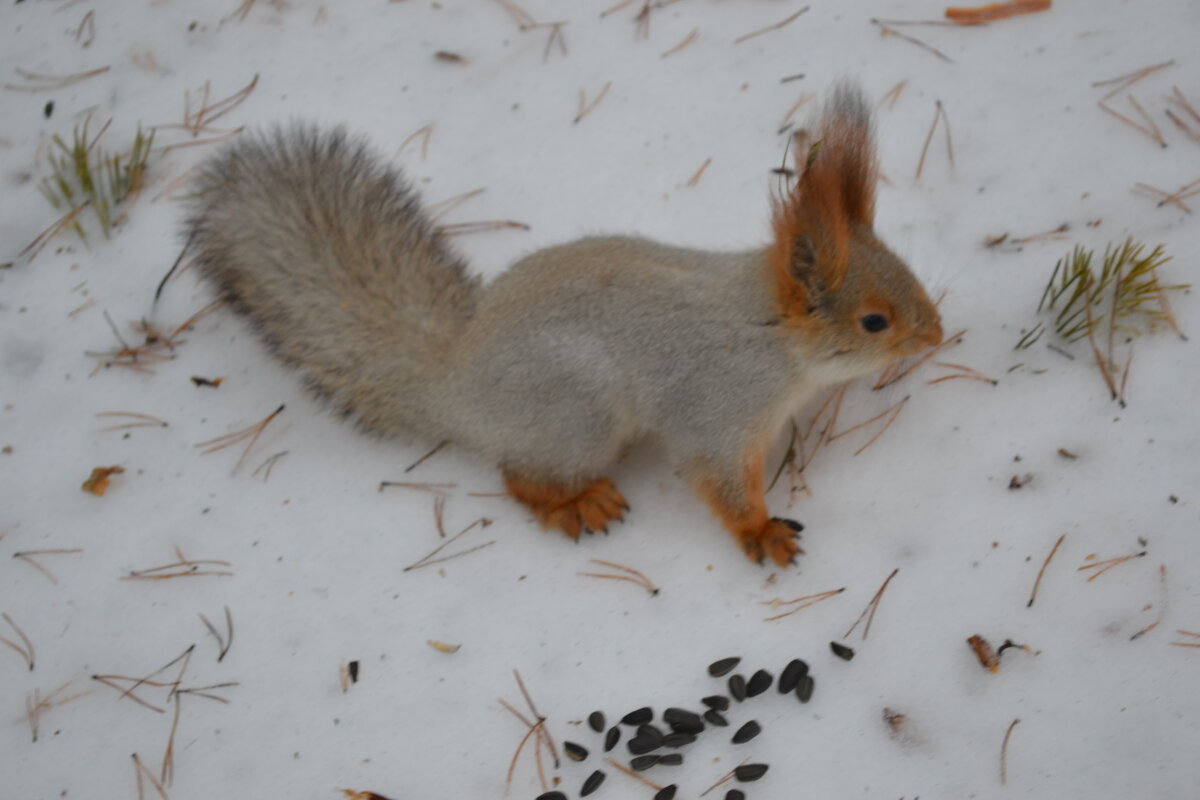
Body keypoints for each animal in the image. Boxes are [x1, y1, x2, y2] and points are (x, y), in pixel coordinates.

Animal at [187, 84, 940, 566]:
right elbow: (718, 478)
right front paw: (759, 532)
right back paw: (575, 505)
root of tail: (456, 387)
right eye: (875, 320)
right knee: (518, 476)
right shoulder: (716, 410)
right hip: (578, 415)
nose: (935, 336)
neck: (771, 338)